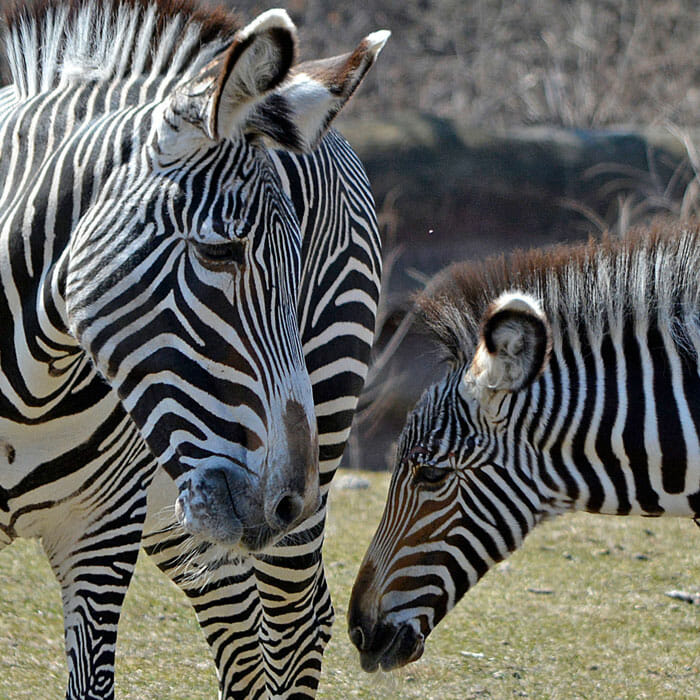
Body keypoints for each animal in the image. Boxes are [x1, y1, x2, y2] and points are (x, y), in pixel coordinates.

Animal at [0, 2, 386, 696]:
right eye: (219, 251)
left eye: (298, 270)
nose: (286, 503)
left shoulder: (102, 535)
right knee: (236, 622)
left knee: (296, 621)